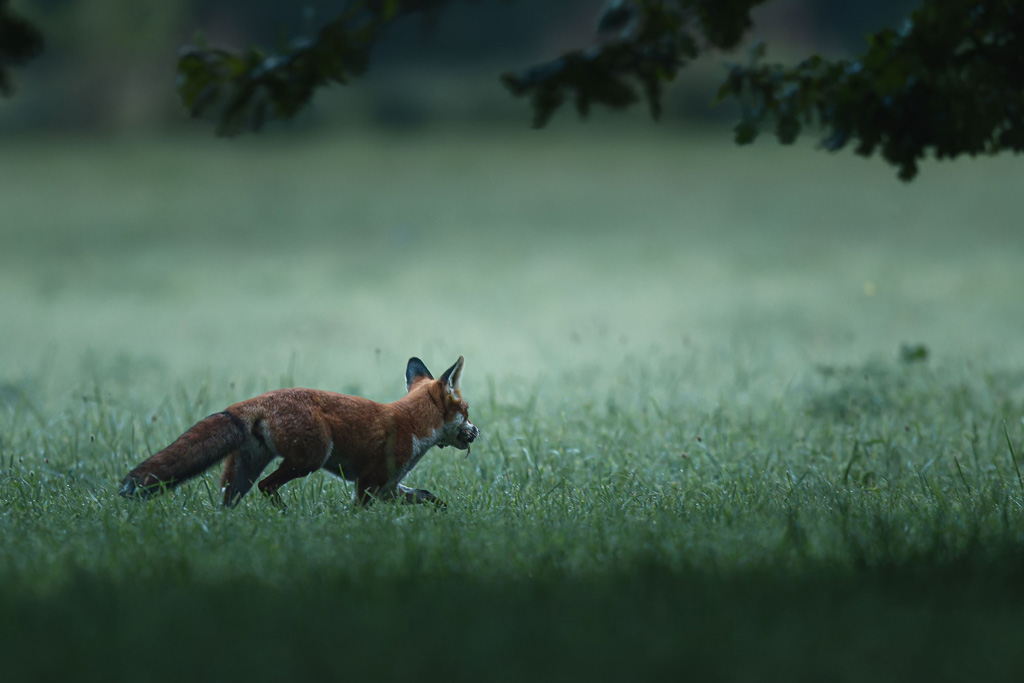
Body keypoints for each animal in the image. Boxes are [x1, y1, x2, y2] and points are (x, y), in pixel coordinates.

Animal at [119, 356, 478, 508]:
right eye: (466, 410)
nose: (476, 431)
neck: (413, 423)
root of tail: (254, 400)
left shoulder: (389, 487)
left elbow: (430, 498)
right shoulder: (368, 483)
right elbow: (359, 513)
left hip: (242, 473)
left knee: (227, 503)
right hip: (309, 459)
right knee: (267, 487)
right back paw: (285, 515)